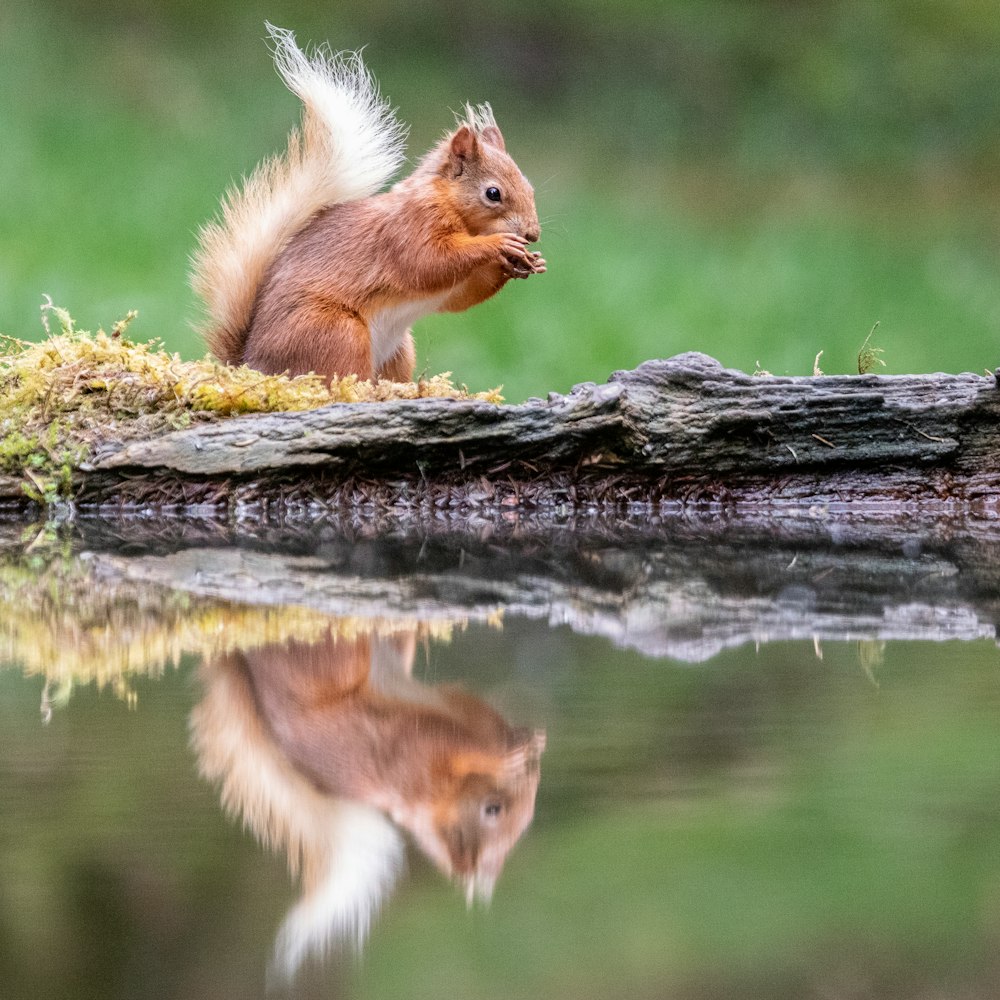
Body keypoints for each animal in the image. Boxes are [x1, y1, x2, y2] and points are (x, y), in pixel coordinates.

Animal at [190, 24, 544, 382]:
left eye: (530, 188)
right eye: (493, 193)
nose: (533, 234)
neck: (459, 215)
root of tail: (253, 364)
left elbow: (461, 295)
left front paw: (526, 263)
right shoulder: (410, 227)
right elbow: (429, 263)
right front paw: (499, 245)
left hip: (397, 351)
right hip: (336, 333)